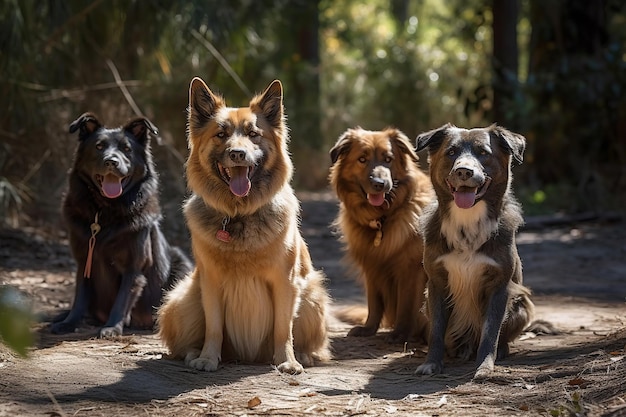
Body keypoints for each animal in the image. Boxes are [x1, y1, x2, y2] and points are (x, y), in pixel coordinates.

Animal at [51, 114, 191, 338]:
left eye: (127, 149)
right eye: (99, 146)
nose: (111, 162)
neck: (105, 211)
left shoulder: (133, 266)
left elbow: (122, 298)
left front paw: (112, 327)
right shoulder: (83, 260)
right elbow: (80, 297)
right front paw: (69, 322)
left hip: (182, 264)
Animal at [156, 78, 330, 374]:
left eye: (253, 134)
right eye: (221, 134)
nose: (238, 154)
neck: (238, 215)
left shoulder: (285, 282)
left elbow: (283, 329)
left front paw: (287, 360)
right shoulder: (210, 283)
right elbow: (214, 327)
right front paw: (208, 358)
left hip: (311, 296)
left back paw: (304, 355)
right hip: (183, 301)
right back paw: (194, 353)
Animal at [326, 128, 434, 342]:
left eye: (388, 159)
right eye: (362, 159)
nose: (380, 184)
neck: (382, 218)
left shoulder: (411, 269)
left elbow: (406, 305)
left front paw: (400, 333)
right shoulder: (372, 266)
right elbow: (374, 303)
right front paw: (368, 328)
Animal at [414, 122, 532, 376]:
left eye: (483, 153)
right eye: (451, 152)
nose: (464, 172)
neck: (467, 221)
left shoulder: (499, 286)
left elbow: (490, 333)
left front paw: (484, 367)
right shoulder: (437, 283)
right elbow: (436, 331)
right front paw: (432, 363)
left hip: (521, 305)